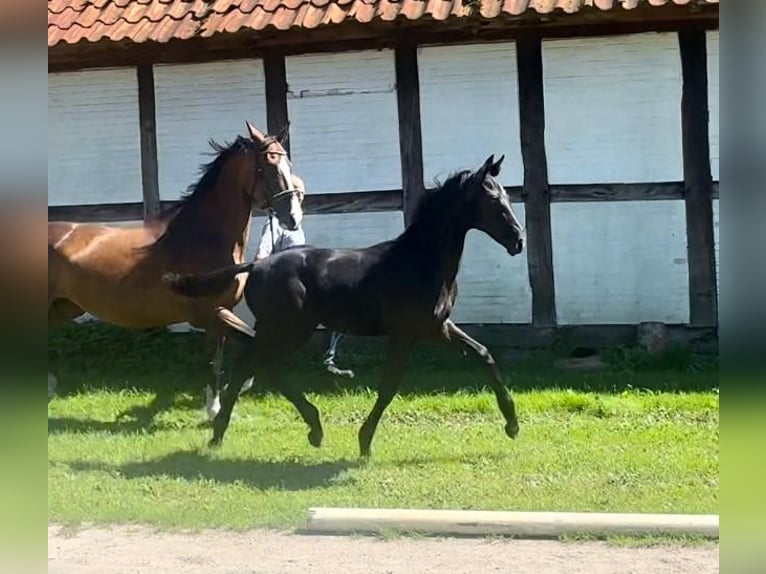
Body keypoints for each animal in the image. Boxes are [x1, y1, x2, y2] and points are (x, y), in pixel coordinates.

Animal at [48, 122, 304, 418]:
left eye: (288, 163)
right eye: (267, 166)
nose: (293, 218)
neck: (204, 237)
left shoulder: (221, 313)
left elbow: (224, 355)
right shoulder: (211, 313)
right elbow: (231, 352)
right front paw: (215, 409)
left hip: (65, 307)